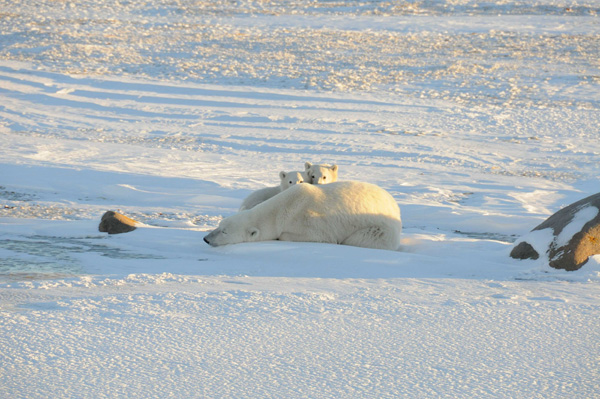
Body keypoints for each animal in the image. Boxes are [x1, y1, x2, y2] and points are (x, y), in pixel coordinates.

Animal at [205, 181, 404, 250]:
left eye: (224, 231)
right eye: (219, 225)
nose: (206, 239)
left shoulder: (310, 221)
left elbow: (321, 237)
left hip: (380, 229)